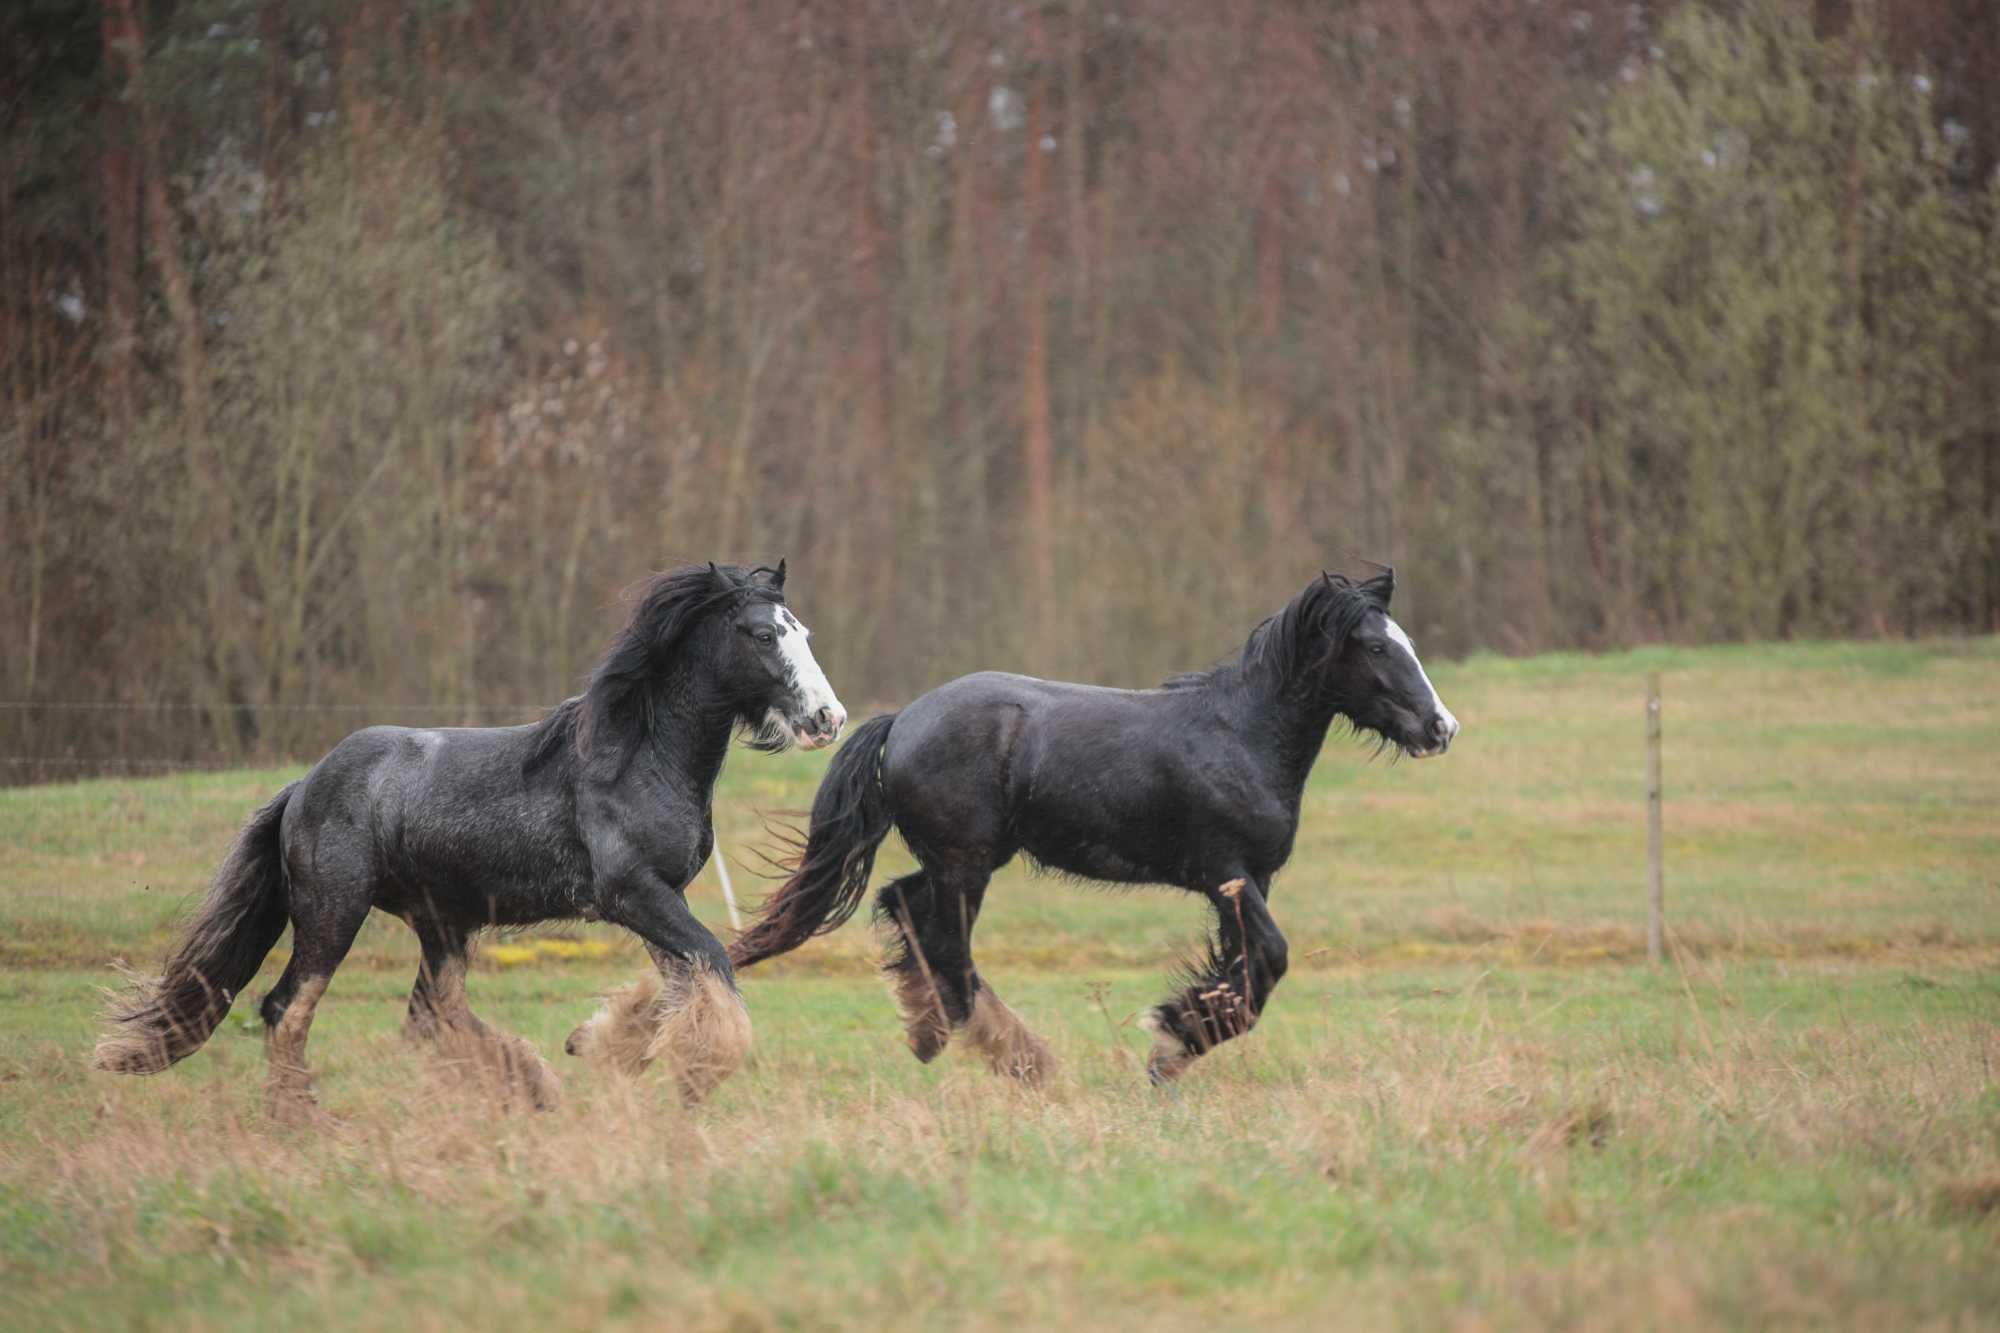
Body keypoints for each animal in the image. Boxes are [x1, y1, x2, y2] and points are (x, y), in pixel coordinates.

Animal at [92, 560, 844, 1112]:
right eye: (762, 634)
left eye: (804, 631)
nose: (827, 718)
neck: (637, 757)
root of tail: (301, 788)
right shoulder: (632, 894)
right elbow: (712, 964)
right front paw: (695, 1071)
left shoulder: (662, 899)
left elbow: (682, 984)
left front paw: (602, 1046)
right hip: (333, 914)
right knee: (288, 1008)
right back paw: (299, 1118)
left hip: (440, 922)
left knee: (431, 1015)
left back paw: (531, 1086)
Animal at [732, 568, 1456, 1080]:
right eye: (1373, 645)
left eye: (1407, 643)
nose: (1440, 727)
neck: (1239, 734)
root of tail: (902, 718)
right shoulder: (1224, 871)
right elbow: (1269, 958)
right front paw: (1168, 1042)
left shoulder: (1249, 882)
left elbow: (1246, 970)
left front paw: (1180, 1039)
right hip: (965, 864)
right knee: (946, 945)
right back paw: (1018, 1057)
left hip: (959, 861)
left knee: (904, 906)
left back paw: (934, 1034)